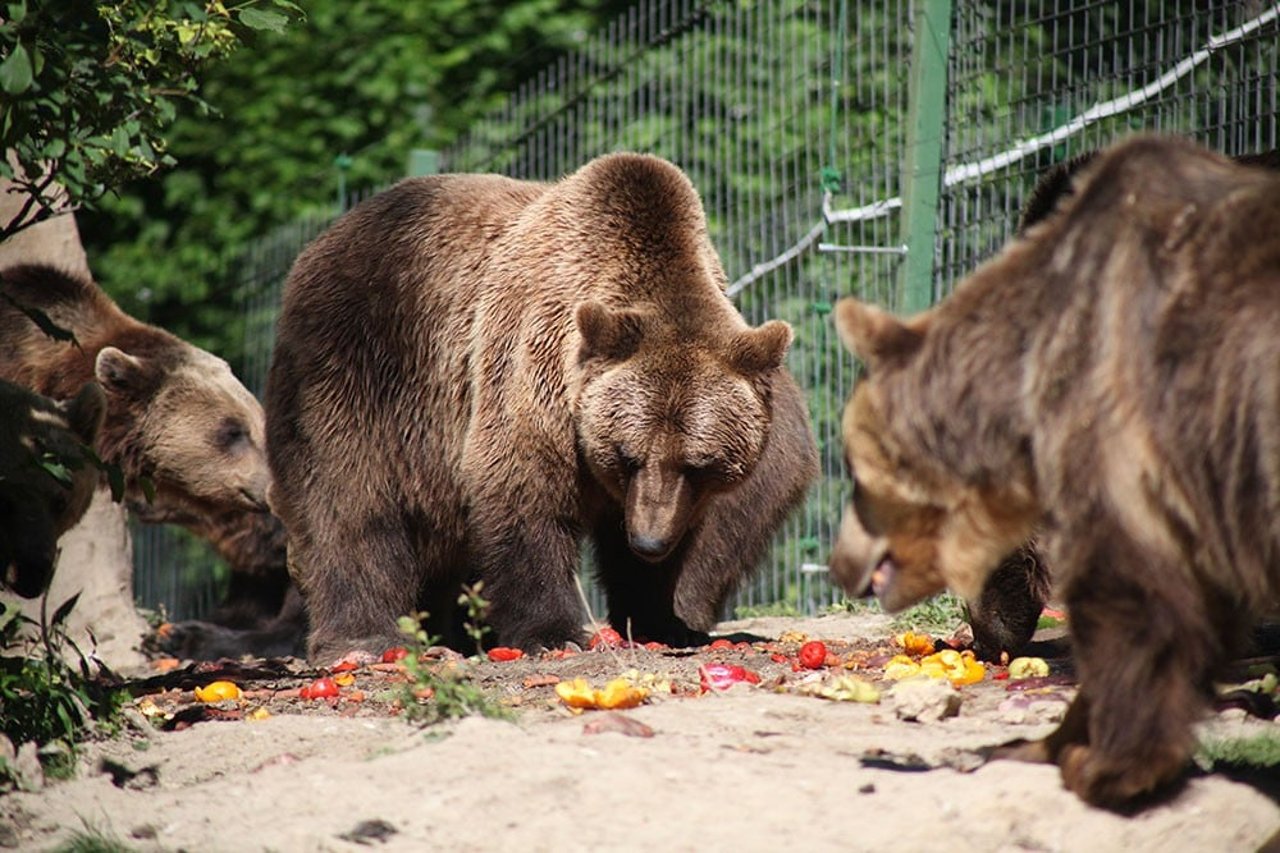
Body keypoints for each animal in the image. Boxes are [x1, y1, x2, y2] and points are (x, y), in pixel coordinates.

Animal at [267, 149, 819, 660]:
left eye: (699, 464)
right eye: (627, 455)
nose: (648, 542)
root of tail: (326, 239)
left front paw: (663, 618)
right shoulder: (531, 362)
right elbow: (522, 486)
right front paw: (555, 631)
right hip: (360, 368)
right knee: (350, 501)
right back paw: (366, 638)